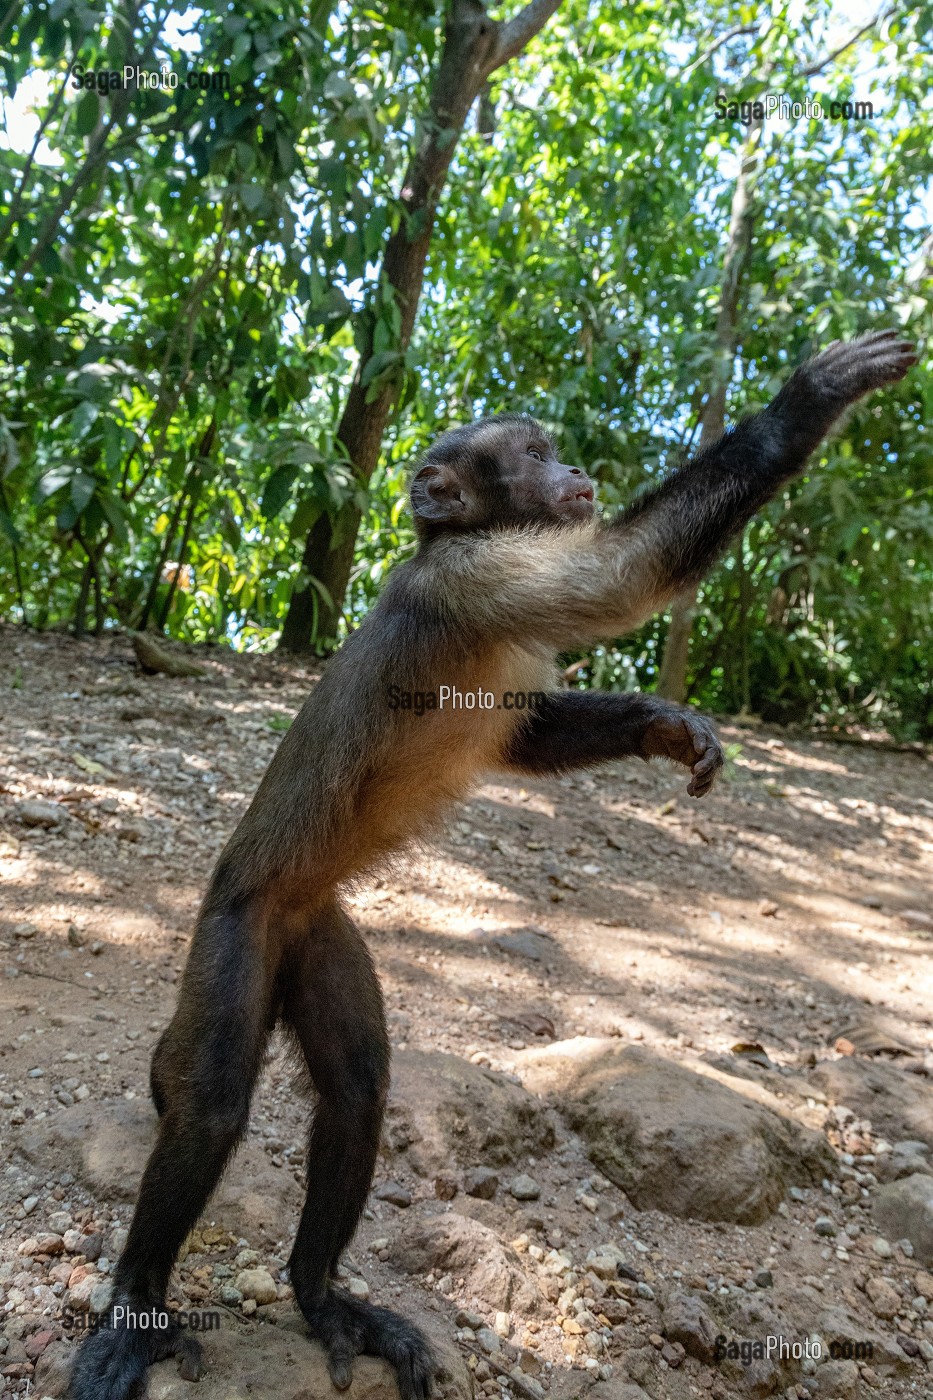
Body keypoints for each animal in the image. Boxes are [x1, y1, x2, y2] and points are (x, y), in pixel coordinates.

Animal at [70, 329, 916, 1400]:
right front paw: (811, 397)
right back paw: (136, 1306)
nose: (575, 468)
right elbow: (621, 576)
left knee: (358, 1091)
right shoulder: (478, 572)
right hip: (237, 922)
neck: (448, 545)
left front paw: (661, 725)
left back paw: (318, 1293)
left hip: (316, 927)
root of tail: (271, 900)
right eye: (535, 455)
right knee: (213, 1105)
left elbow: (528, 730)